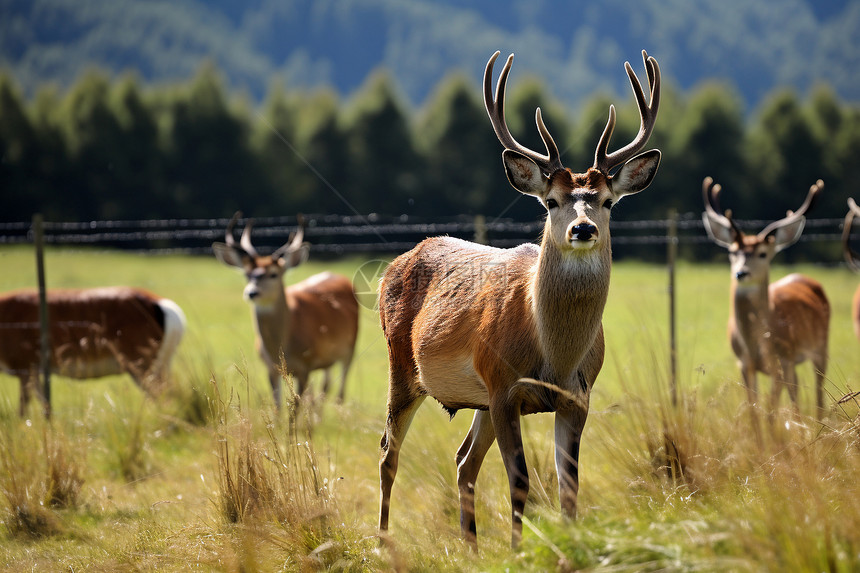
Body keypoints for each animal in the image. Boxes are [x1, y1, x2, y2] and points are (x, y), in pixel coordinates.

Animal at [0, 286, 187, 416]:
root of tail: (163, 305)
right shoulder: (34, 371)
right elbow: (45, 405)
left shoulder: (24, 367)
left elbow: (23, 409)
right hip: (160, 366)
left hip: (142, 366)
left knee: (163, 397)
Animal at [212, 212, 360, 408]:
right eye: (247, 274)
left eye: (273, 274)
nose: (252, 292)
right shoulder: (271, 369)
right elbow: (278, 407)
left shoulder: (305, 366)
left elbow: (296, 407)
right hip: (327, 360)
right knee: (324, 389)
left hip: (350, 348)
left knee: (340, 392)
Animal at [372, 48, 660, 544]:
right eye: (550, 201)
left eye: (607, 201)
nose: (582, 228)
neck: (554, 357)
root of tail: (398, 262)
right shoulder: (504, 386)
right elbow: (521, 480)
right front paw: (517, 549)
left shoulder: (577, 397)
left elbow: (569, 485)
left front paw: (565, 546)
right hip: (404, 366)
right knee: (389, 451)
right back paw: (383, 542)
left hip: (479, 401)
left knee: (464, 461)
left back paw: (469, 545)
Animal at [704, 177, 828, 418]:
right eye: (732, 252)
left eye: (763, 254)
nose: (741, 273)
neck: (755, 345)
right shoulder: (744, 364)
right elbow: (754, 412)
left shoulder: (779, 362)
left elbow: (770, 412)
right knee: (796, 392)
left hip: (820, 347)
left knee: (819, 392)